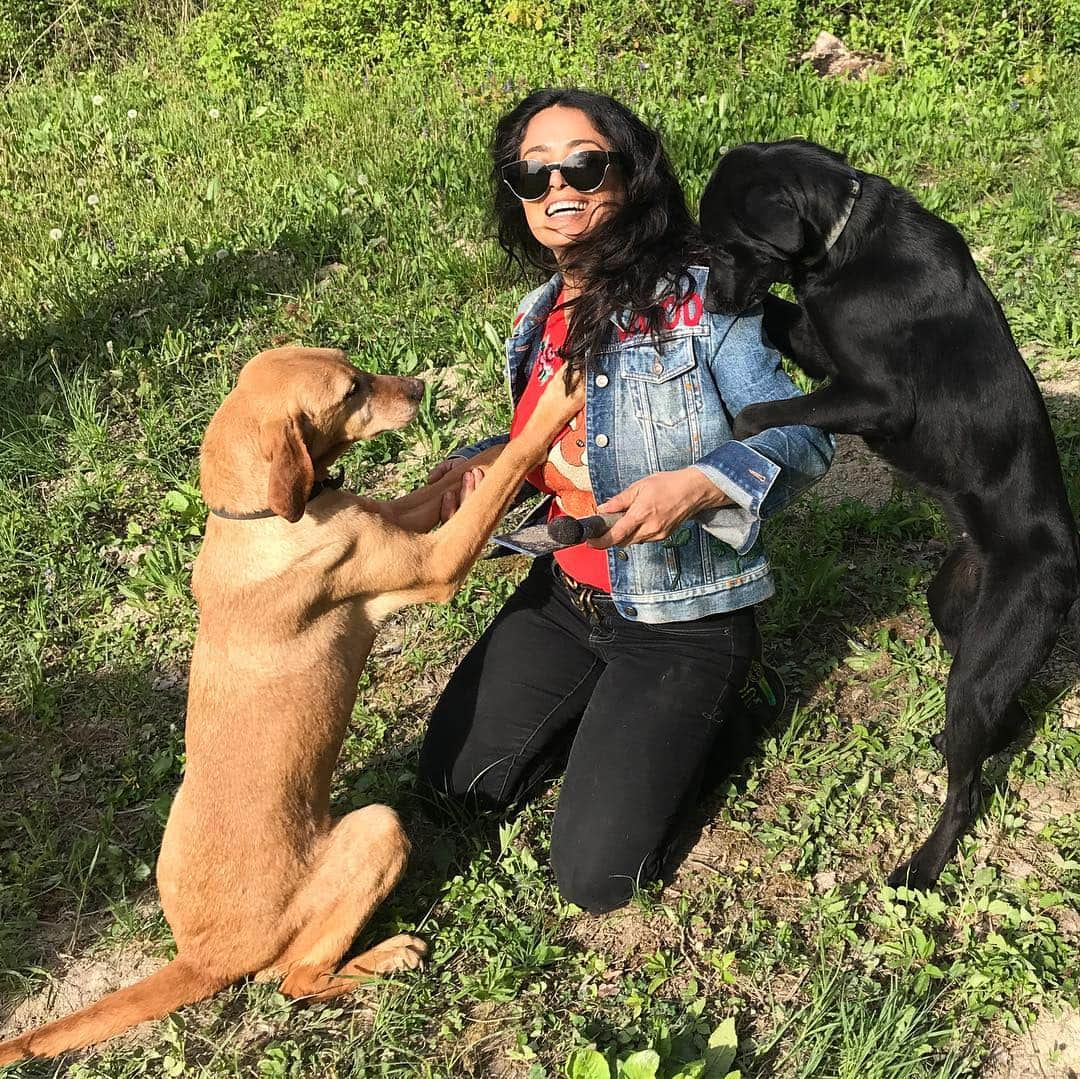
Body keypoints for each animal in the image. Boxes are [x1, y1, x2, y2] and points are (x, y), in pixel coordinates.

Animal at [2, 347, 583, 1062]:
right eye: (351, 390)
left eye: (358, 367)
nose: (419, 387)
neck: (258, 519)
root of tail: (202, 958)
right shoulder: (433, 563)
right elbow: (503, 475)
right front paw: (553, 407)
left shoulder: (386, 515)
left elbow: (464, 478)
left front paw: (493, 445)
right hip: (378, 828)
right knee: (295, 980)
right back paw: (385, 958)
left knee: (285, 976)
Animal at [699, 139, 1080, 889]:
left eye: (727, 245)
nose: (713, 299)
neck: (846, 244)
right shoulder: (821, 347)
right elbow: (780, 316)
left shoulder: (875, 397)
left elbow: (769, 410)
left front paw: (738, 425)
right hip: (957, 615)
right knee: (1001, 717)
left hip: (983, 662)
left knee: (966, 788)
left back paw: (923, 866)